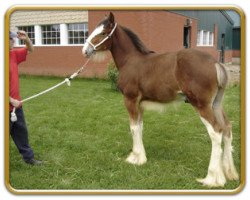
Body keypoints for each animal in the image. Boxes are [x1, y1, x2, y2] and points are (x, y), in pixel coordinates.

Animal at [82, 12, 238, 188]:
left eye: (102, 33)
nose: (85, 50)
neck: (131, 60)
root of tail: (215, 62)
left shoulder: (130, 100)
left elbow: (133, 128)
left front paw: (136, 159)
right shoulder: (140, 104)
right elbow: (140, 127)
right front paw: (139, 156)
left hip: (202, 105)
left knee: (216, 132)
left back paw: (212, 178)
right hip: (216, 104)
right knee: (227, 128)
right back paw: (229, 172)